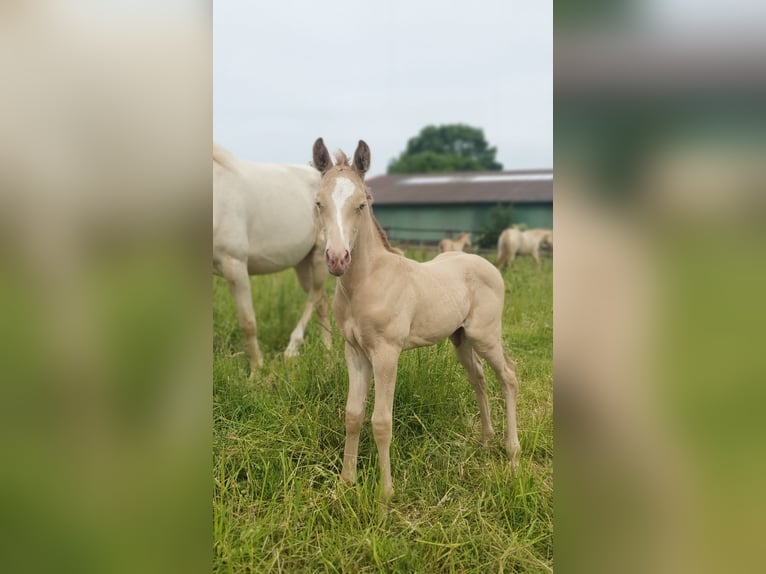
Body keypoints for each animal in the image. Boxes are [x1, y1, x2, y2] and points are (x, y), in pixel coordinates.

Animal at [213, 144, 331, 374]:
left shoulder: (234, 266)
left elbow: (248, 322)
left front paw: (256, 371)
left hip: (321, 256)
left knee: (314, 298)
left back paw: (292, 350)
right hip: (303, 264)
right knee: (321, 301)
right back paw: (327, 353)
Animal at [312, 138, 521, 502]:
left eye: (361, 204)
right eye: (319, 203)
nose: (337, 259)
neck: (366, 283)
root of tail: (489, 265)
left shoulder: (386, 353)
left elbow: (381, 421)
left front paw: (385, 495)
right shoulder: (354, 351)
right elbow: (353, 415)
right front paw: (346, 483)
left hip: (485, 335)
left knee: (508, 375)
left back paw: (512, 454)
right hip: (461, 338)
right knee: (479, 378)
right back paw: (485, 440)